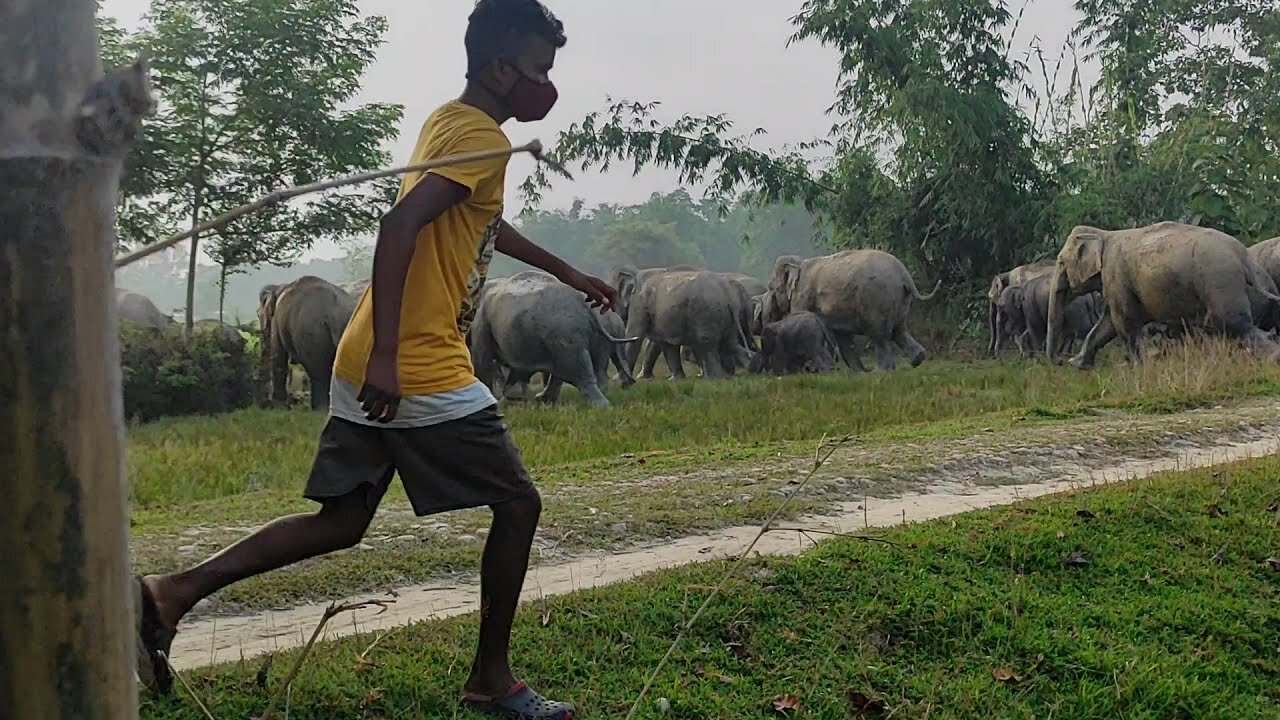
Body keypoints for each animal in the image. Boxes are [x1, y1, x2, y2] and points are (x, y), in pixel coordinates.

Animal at [257, 274, 355, 407]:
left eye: (258, 314)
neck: (280, 287)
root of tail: (335, 314)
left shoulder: (276, 320)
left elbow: (278, 357)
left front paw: (279, 406)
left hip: (313, 334)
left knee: (319, 373)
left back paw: (319, 408)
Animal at [465, 269, 640, 407]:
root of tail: (585, 307)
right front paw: (516, 398)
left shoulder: (482, 323)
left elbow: (482, 360)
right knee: (570, 368)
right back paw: (544, 399)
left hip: (564, 333)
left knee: (576, 369)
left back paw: (602, 406)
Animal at [616, 267, 752, 381]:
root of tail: (727, 291)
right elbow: (665, 344)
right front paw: (676, 380)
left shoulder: (638, 303)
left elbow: (634, 337)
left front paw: (618, 380)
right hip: (725, 315)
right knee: (729, 342)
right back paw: (745, 369)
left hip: (705, 311)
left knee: (707, 343)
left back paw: (715, 378)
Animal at [757, 245, 942, 368]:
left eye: (771, 288)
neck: (799, 263)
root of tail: (904, 275)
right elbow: (843, 337)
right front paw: (857, 374)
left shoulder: (802, 295)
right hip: (899, 300)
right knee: (899, 331)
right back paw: (916, 360)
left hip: (876, 298)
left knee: (880, 336)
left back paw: (882, 372)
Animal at [1044, 220, 1280, 366]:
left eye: (1060, 262)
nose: (1060, 360)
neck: (1103, 233)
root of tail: (1243, 256)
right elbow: (1107, 324)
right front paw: (1078, 364)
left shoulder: (1115, 275)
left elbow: (1124, 322)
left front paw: (1141, 367)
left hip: (1219, 280)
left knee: (1234, 324)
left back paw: (1273, 359)